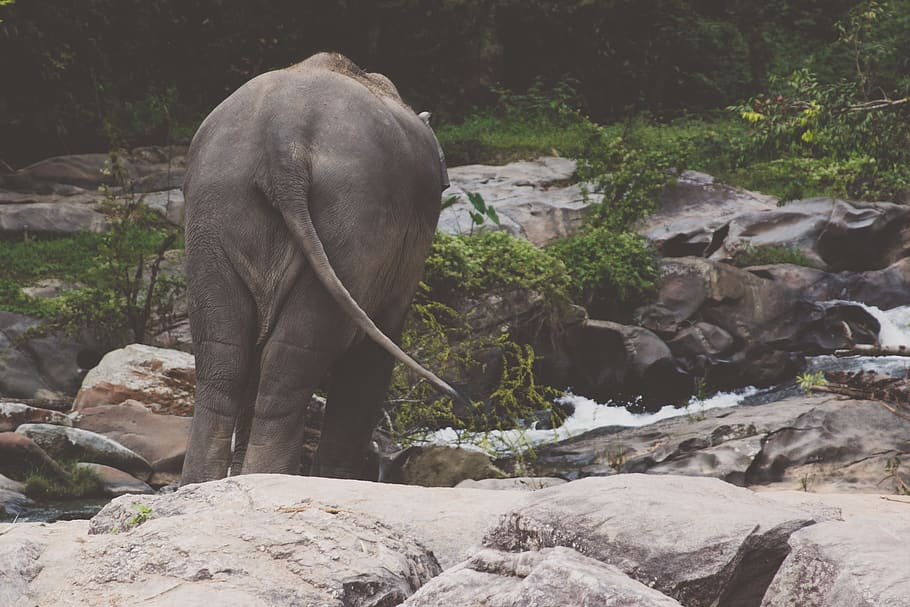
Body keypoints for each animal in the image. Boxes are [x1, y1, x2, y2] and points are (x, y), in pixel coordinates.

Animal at [180, 52, 460, 485]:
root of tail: (282, 139)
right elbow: (373, 352)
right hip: (349, 224)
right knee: (293, 359)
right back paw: (279, 479)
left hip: (213, 212)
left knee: (224, 357)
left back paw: (209, 483)